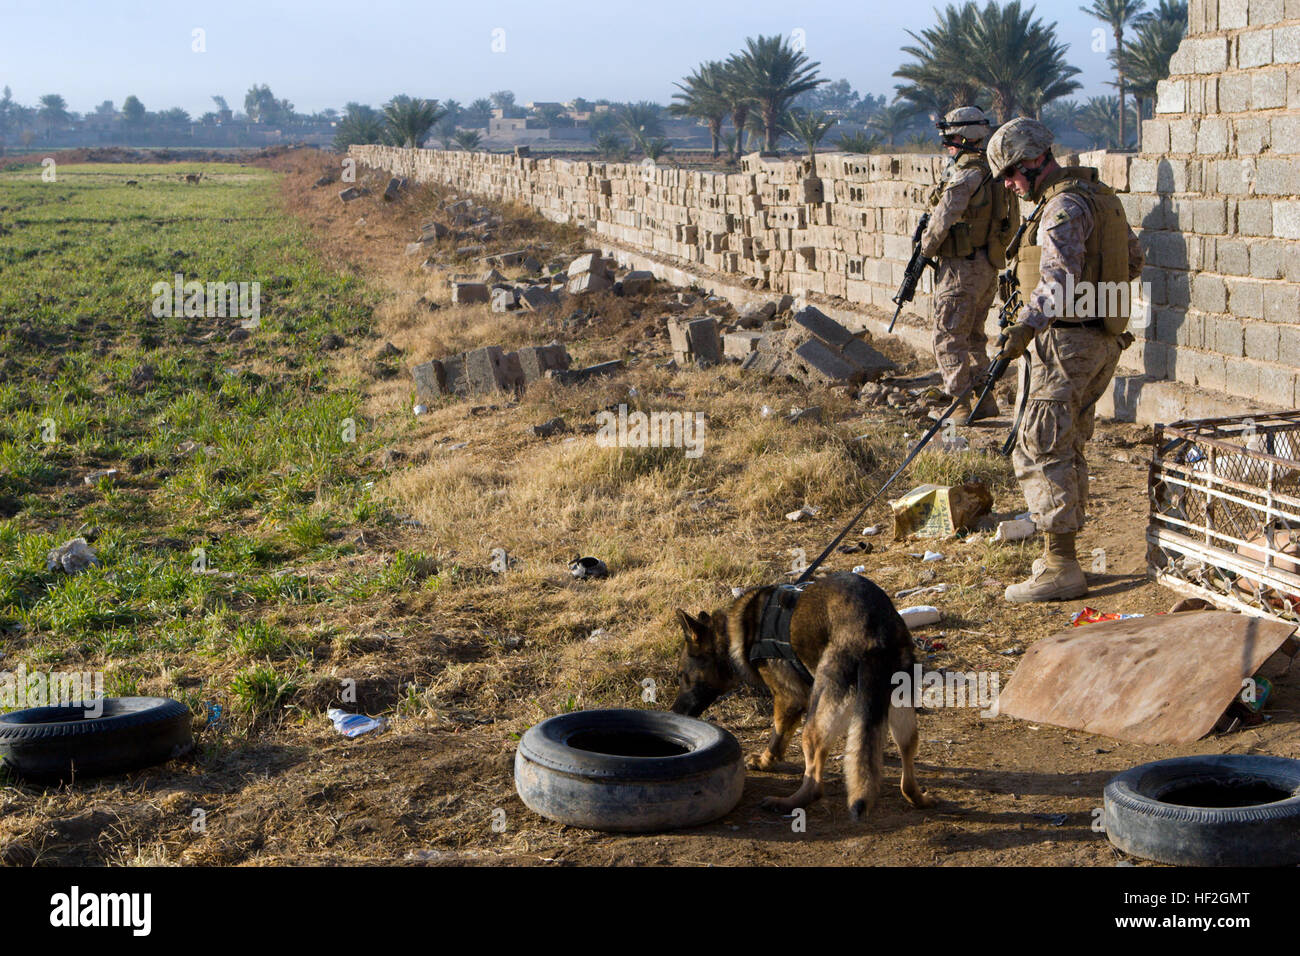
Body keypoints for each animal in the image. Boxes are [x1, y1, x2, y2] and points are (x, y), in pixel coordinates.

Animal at [670, 572, 935, 816]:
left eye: (682, 675)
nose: (674, 712)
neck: (733, 632)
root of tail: (876, 633)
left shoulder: (790, 699)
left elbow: (777, 735)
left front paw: (765, 761)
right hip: (900, 712)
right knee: (907, 755)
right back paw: (918, 798)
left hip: (814, 722)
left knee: (815, 782)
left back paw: (787, 803)